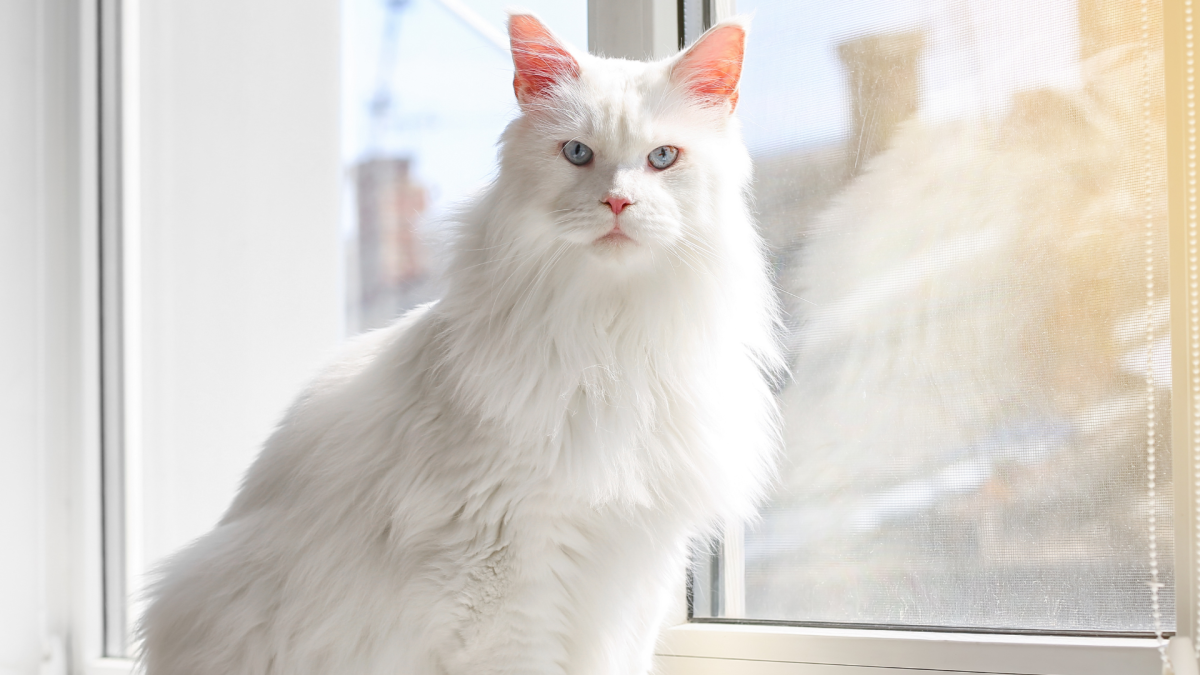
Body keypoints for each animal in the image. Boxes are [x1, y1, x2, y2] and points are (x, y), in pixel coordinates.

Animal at [140, 15, 782, 672]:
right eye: (577, 153)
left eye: (662, 158)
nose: (618, 202)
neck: (609, 342)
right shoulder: (507, 584)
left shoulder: (635, 577)